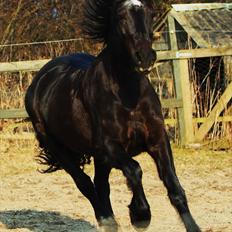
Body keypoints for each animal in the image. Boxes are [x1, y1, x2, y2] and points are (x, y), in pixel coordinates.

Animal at [24, 0, 200, 231]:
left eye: (150, 14)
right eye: (121, 17)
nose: (145, 57)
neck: (129, 96)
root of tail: (40, 80)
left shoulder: (158, 140)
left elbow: (174, 186)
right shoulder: (109, 146)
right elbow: (134, 170)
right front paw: (140, 215)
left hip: (98, 157)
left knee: (101, 185)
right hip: (58, 147)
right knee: (85, 183)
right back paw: (107, 219)